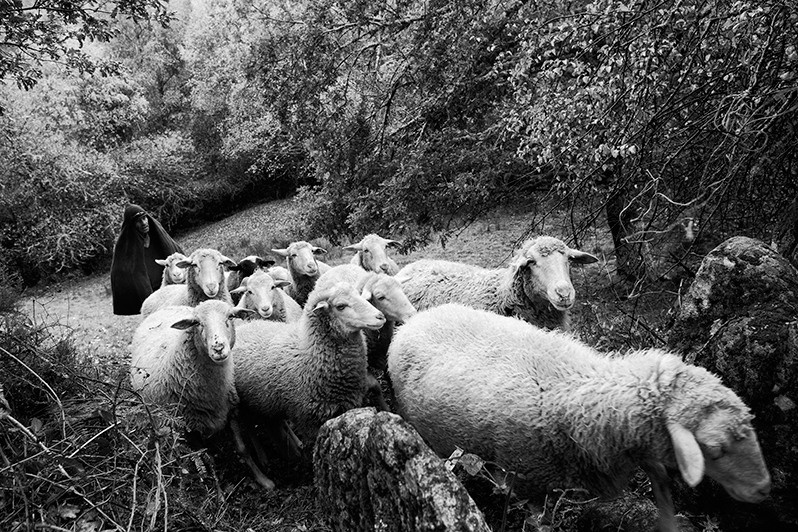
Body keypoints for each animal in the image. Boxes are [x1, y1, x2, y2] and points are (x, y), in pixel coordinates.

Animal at [129, 299, 274, 489]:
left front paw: (264, 480)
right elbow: (204, 459)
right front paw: (216, 491)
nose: (218, 347)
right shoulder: (187, 428)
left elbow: (243, 450)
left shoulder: (230, 410)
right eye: (197, 323)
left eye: (230, 316)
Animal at [234, 281, 385, 453]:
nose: (380, 316)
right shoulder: (308, 420)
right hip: (247, 407)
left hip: (265, 404)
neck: (308, 351)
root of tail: (242, 327)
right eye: (340, 306)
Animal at [388, 303, 772, 532]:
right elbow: (538, 520)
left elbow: (661, 484)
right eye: (714, 449)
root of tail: (415, 319)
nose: (764, 489)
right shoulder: (528, 477)